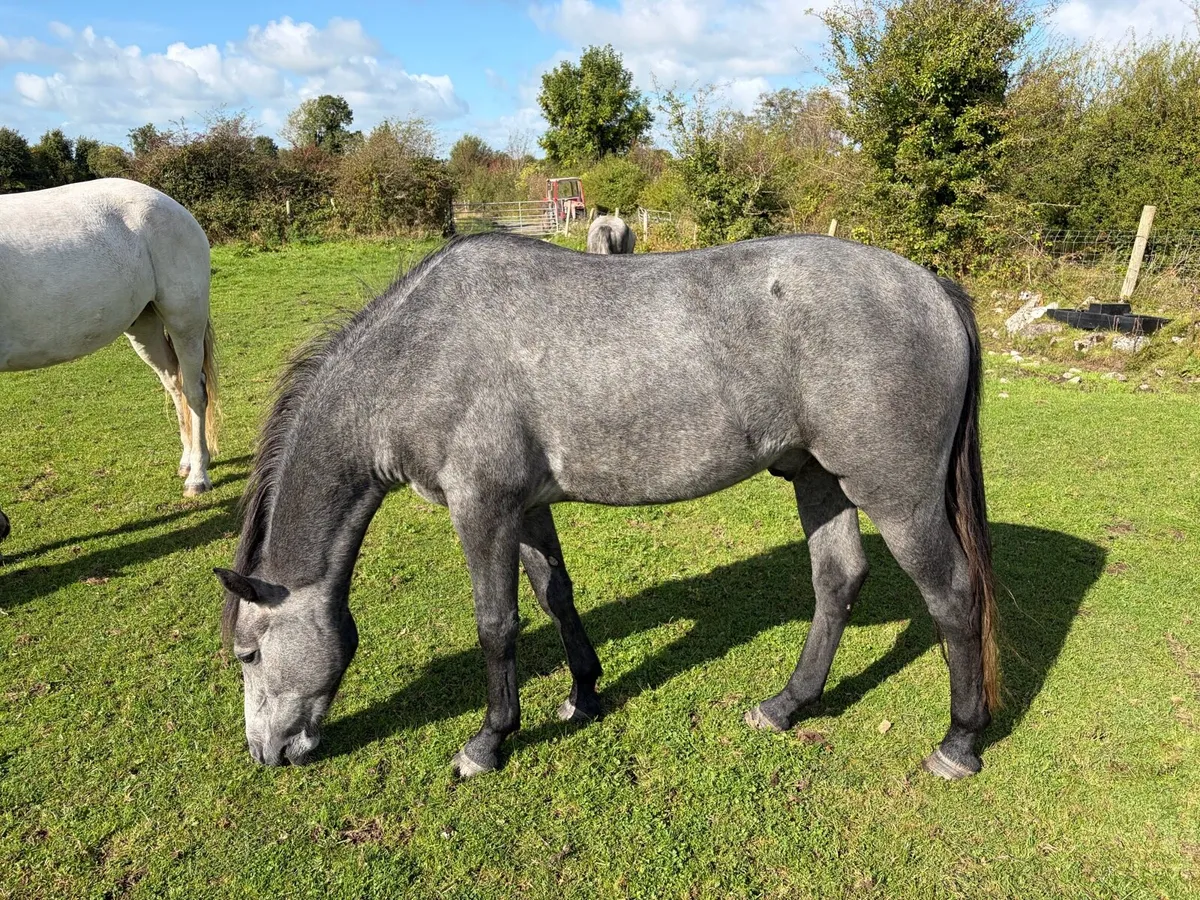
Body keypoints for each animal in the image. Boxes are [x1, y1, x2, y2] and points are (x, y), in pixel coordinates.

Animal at [0, 178, 220, 544]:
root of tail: (171, 205)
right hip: (144, 326)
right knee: (174, 386)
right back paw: (187, 462)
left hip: (185, 320)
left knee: (194, 393)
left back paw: (197, 477)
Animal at [215, 232, 1000, 782]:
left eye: (248, 653)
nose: (267, 753)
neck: (419, 354)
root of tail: (930, 287)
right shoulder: (525, 508)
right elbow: (554, 594)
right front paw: (584, 694)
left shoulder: (481, 509)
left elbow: (496, 625)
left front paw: (489, 741)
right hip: (817, 477)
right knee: (837, 579)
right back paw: (785, 705)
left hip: (898, 497)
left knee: (953, 594)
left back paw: (959, 742)